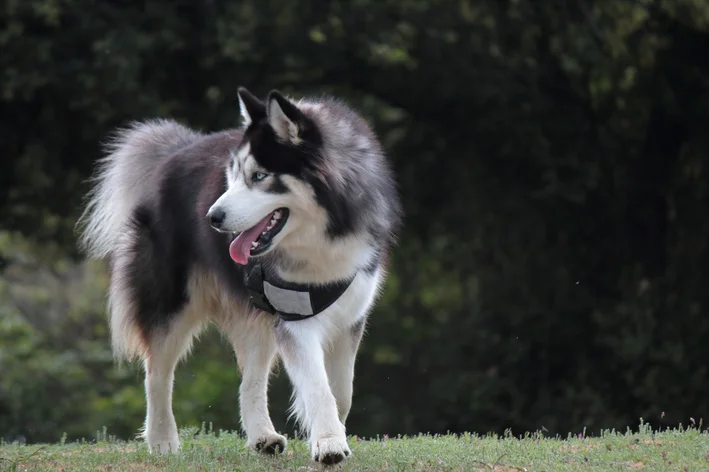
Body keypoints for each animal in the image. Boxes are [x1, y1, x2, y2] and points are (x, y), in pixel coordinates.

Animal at [76, 86, 402, 462]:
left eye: (259, 176)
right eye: (232, 175)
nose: (211, 217)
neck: (326, 235)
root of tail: (179, 149)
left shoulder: (350, 316)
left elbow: (342, 390)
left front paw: (329, 434)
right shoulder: (296, 319)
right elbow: (318, 386)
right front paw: (329, 442)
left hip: (256, 317)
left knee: (251, 380)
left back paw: (262, 437)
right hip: (173, 305)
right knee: (157, 372)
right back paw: (161, 440)